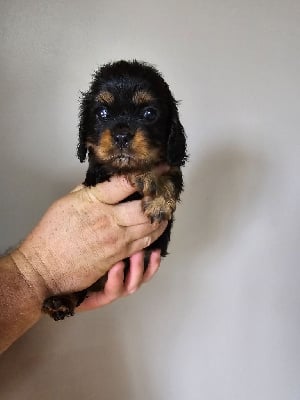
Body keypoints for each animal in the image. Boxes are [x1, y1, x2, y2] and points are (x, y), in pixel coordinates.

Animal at [42, 60, 188, 322]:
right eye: (102, 113)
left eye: (149, 113)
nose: (121, 135)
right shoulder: (99, 175)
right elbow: (122, 168)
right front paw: (143, 175)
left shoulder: (171, 164)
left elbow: (171, 176)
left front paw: (159, 201)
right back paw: (61, 301)